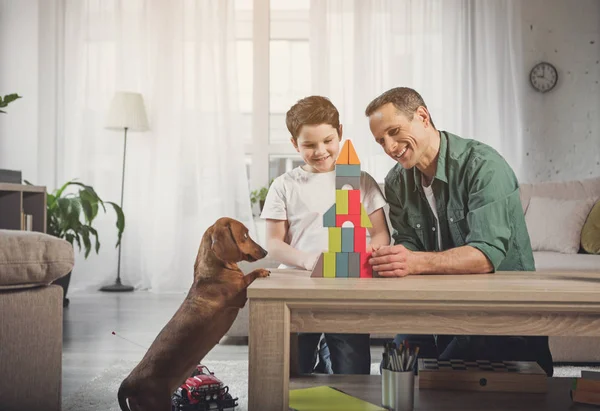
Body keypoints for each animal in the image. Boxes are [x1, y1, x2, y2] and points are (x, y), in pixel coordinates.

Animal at [116, 217, 270, 410]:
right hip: (158, 404)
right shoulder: (239, 296)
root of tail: (128, 383)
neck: (216, 270)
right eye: (245, 235)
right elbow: (249, 277)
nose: (265, 251)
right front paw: (261, 270)